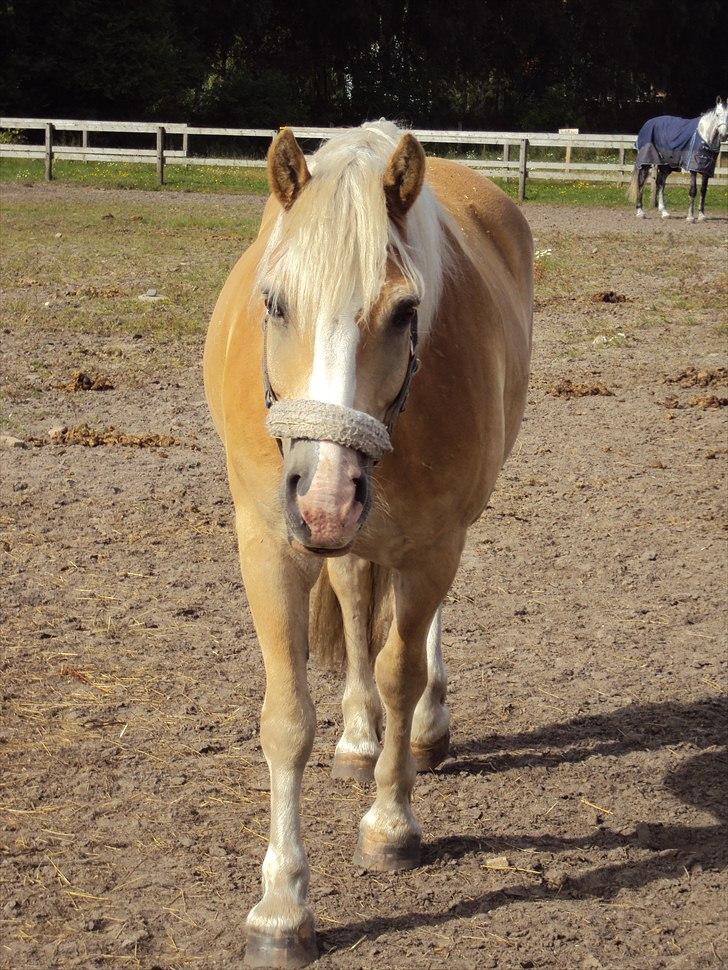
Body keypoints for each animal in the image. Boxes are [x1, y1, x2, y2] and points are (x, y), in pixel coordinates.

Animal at [202, 119, 532, 960]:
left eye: (406, 311)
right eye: (274, 302)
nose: (323, 496)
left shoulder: (433, 545)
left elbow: (400, 674)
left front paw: (391, 825)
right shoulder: (269, 546)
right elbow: (287, 719)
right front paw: (281, 907)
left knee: (417, 640)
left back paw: (422, 734)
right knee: (353, 600)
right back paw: (357, 740)